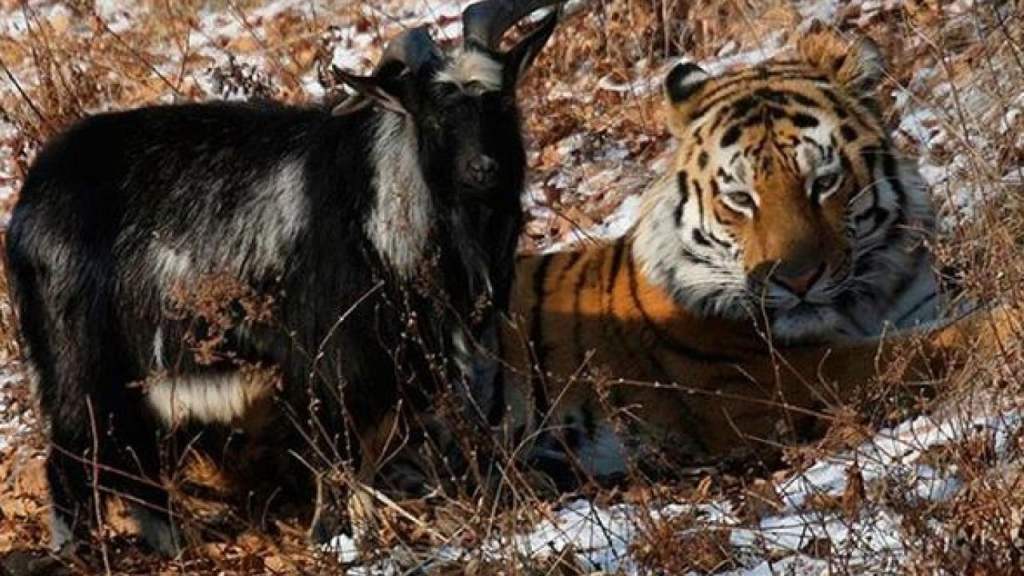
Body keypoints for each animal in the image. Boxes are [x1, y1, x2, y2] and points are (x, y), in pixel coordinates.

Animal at [5, 0, 562, 556]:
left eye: (501, 101)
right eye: (434, 115)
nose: (482, 169)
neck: (380, 200)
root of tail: (30, 202)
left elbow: (363, 465)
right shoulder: (328, 362)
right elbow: (336, 460)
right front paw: (333, 540)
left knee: (133, 462)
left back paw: (176, 546)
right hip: (78, 364)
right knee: (73, 463)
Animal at [499, 31, 1011, 485]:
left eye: (824, 182)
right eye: (741, 198)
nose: (797, 280)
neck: (866, 304)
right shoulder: (767, 382)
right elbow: (921, 347)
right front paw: (1006, 323)